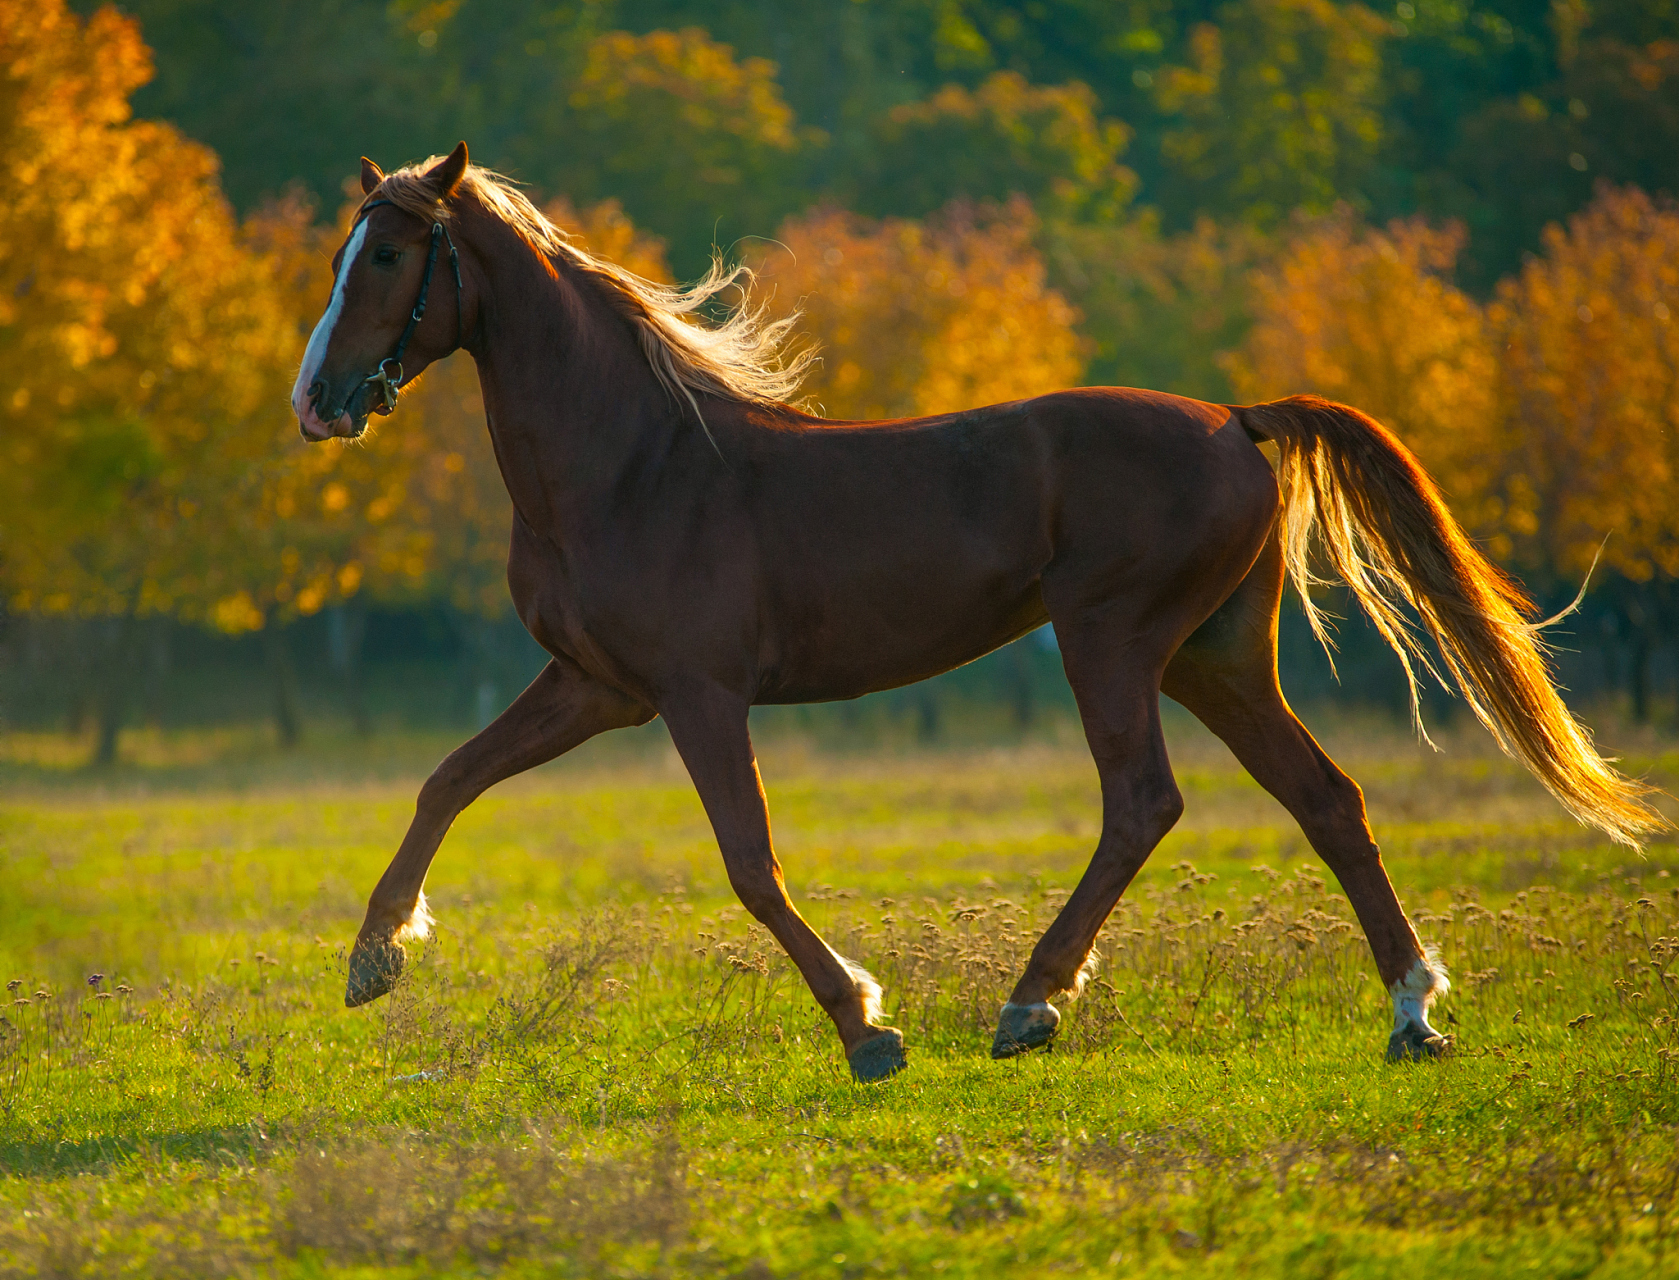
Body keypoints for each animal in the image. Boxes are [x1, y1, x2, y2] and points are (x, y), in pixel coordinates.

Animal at [291, 143, 1664, 1080]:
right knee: (1323, 797)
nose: (315, 401)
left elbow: (749, 862)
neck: (636, 464)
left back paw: (1030, 1002)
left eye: (391, 256)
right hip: (1212, 656)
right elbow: (448, 779)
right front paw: (375, 955)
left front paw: (865, 1025)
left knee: (1142, 803)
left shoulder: (697, 695)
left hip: (1113, 639)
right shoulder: (597, 687)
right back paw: (1410, 1010)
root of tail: (1235, 419)